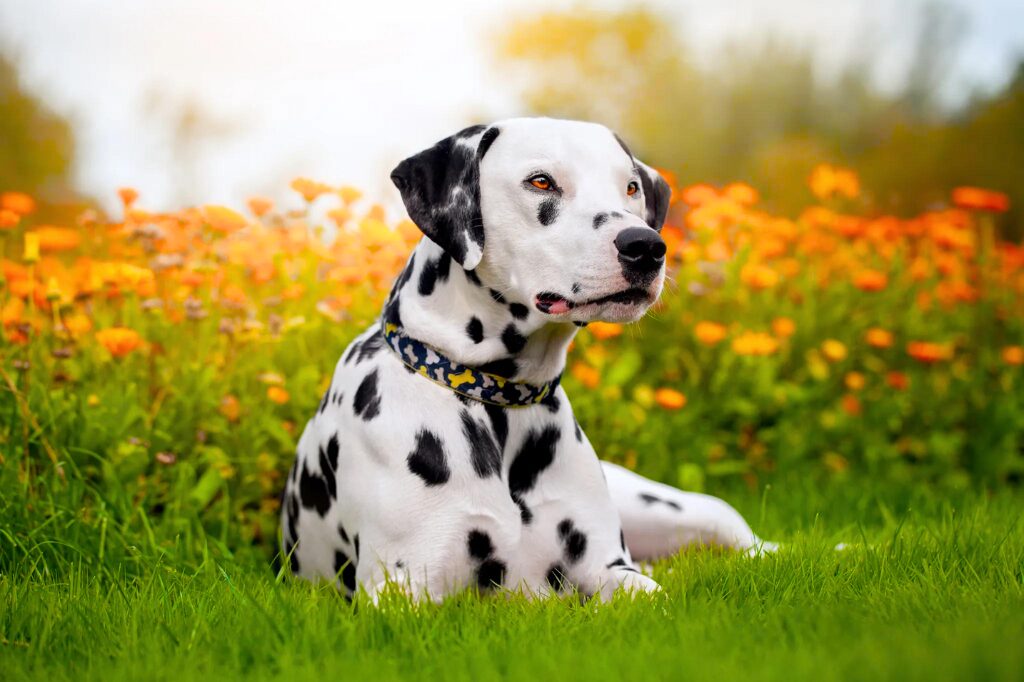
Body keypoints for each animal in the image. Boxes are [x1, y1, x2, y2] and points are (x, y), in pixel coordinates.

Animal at [276, 116, 770, 602]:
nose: (645, 246)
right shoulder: (400, 589)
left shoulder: (613, 570)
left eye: (631, 187)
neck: (497, 401)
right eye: (541, 181)